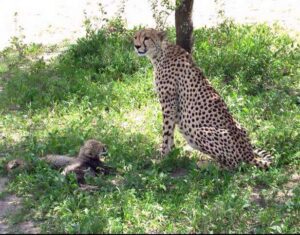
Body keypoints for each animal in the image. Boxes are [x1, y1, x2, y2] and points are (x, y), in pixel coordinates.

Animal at [133, 28, 272, 170]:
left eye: (147, 38)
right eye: (135, 37)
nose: (137, 46)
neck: (160, 53)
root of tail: (249, 154)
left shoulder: (169, 104)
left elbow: (166, 132)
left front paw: (162, 158)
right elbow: (170, 133)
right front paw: (171, 155)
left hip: (196, 130)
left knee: (234, 165)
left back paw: (206, 164)